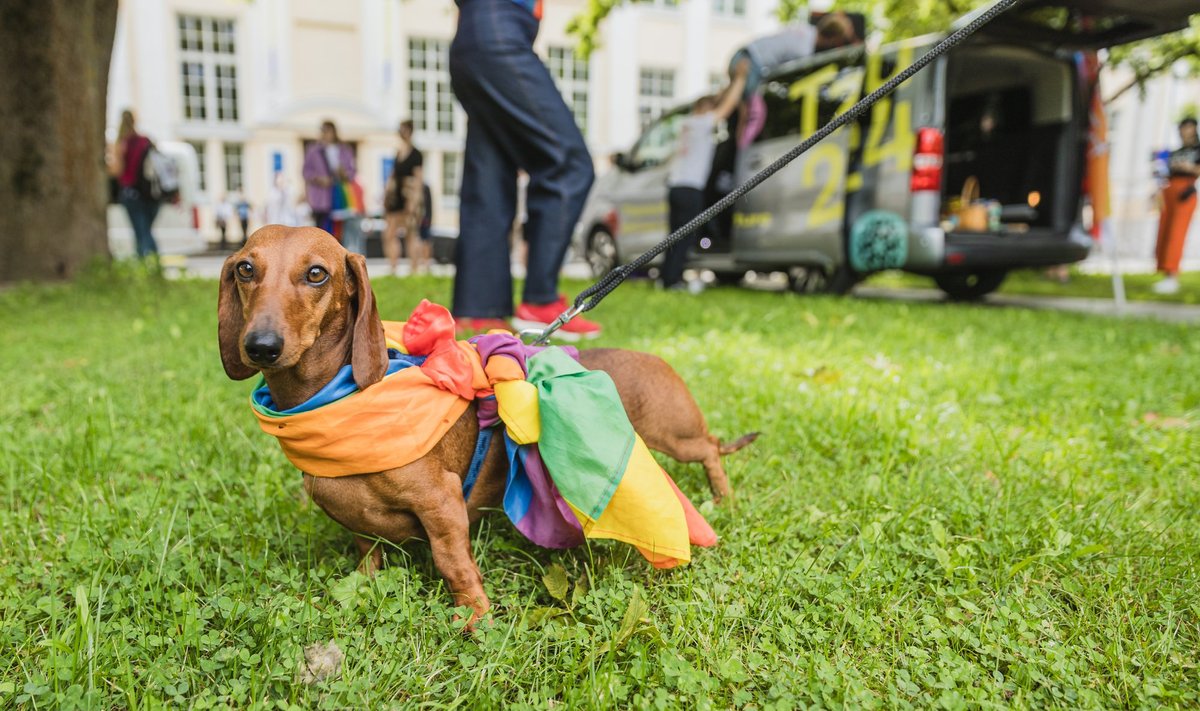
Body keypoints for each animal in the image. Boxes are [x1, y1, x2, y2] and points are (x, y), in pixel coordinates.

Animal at [220, 228, 753, 624]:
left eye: (317, 274)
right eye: (246, 268)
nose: (261, 346)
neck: (333, 400)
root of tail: (659, 358)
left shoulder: (442, 506)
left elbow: (454, 564)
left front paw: (476, 618)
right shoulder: (361, 528)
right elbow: (367, 553)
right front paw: (366, 585)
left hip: (675, 437)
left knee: (710, 448)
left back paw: (722, 497)